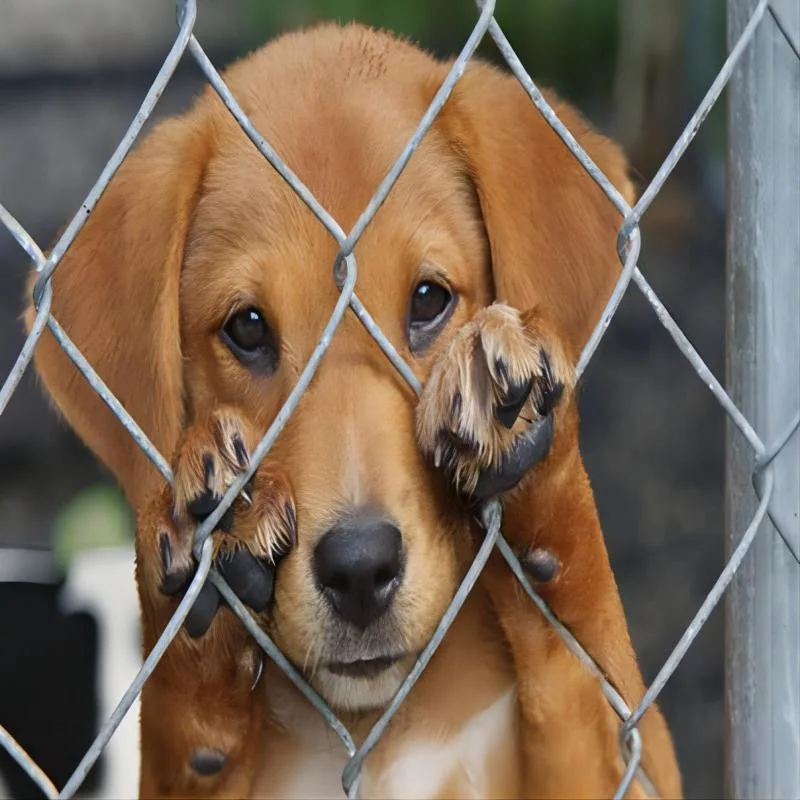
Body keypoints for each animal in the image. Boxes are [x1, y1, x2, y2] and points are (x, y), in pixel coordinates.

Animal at [28, 21, 684, 796]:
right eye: (247, 328)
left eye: (429, 300)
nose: (360, 570)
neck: (380, 726)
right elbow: (183, 739)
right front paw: (200, 580)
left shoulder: (627, 754)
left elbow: (581, 656)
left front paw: (525, 436)